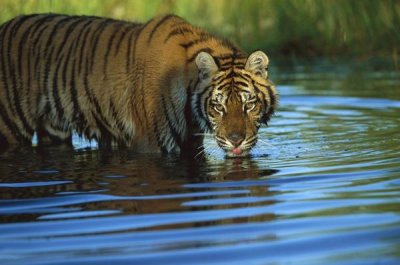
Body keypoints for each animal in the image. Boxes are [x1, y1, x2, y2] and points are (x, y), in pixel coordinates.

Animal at [0, 13, 278, 157]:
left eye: (249, 104)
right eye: (218, 107)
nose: (236, 141)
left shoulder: (189, 143)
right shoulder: (150, 144)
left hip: (54, 129)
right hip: (10, 127)